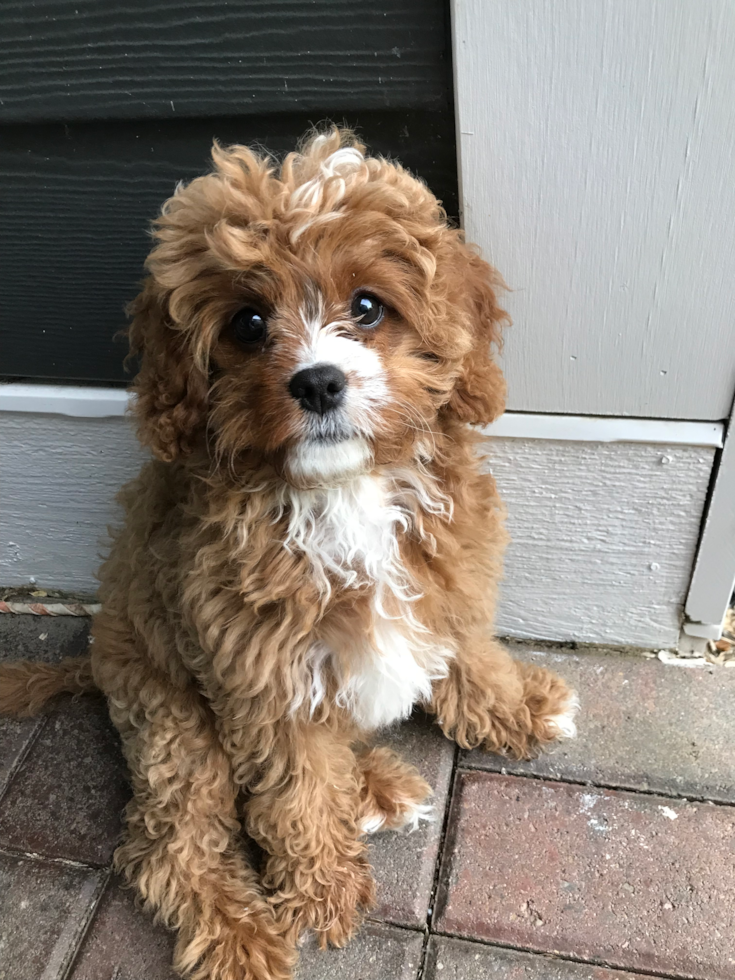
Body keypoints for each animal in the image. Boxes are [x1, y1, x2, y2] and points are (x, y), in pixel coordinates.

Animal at [0, 132, 576, 980]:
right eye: (247, 322)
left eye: (366, 306)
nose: (318, 383)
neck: (341, 492)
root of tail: (97, 659)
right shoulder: (262, 675)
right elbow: (296, 786)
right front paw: (322, 892)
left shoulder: (448, 576)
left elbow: (469, 649)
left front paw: (514, 708)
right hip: (172, 723)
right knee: (172, 843)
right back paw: (240, 936)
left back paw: (375, 784)